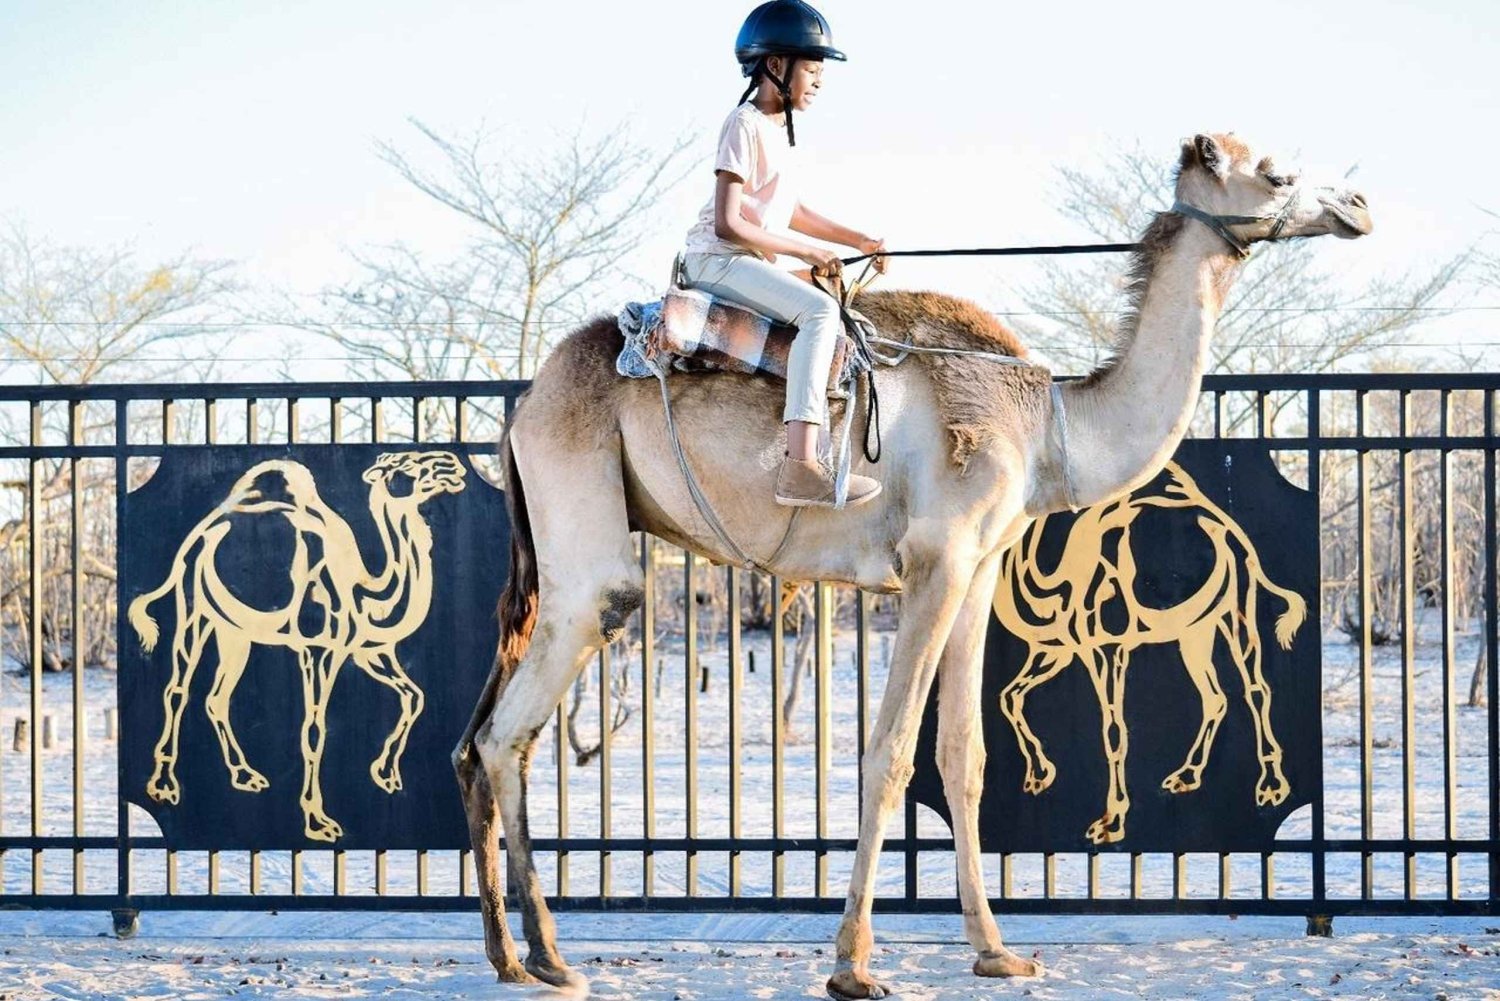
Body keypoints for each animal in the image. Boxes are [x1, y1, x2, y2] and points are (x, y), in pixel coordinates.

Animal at [128, 450, 467, 843]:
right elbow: (314, 730)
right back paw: (164, 785)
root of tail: (198, 534)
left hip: (236, 630)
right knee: (177, 689)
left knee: (217, 698)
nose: (451, 464)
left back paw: (245, 775)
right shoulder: (317, 649)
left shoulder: (367, 651)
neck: (365, 595)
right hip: (194, 605)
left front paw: (385, 773)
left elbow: (415, 696)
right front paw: (318, 821)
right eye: (405, 465)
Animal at [994, 460, 1307, 846]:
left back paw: (1271, 787)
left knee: (1256, 688)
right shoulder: (1057, 649)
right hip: (1194, 631)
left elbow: (1114, 731)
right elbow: (1009, 697)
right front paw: (1040, 774)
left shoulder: (1108, 646)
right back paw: (1186, 775)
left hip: (1237, 606)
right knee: (1215, 697)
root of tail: (1228, 528)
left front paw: (1111, 823)